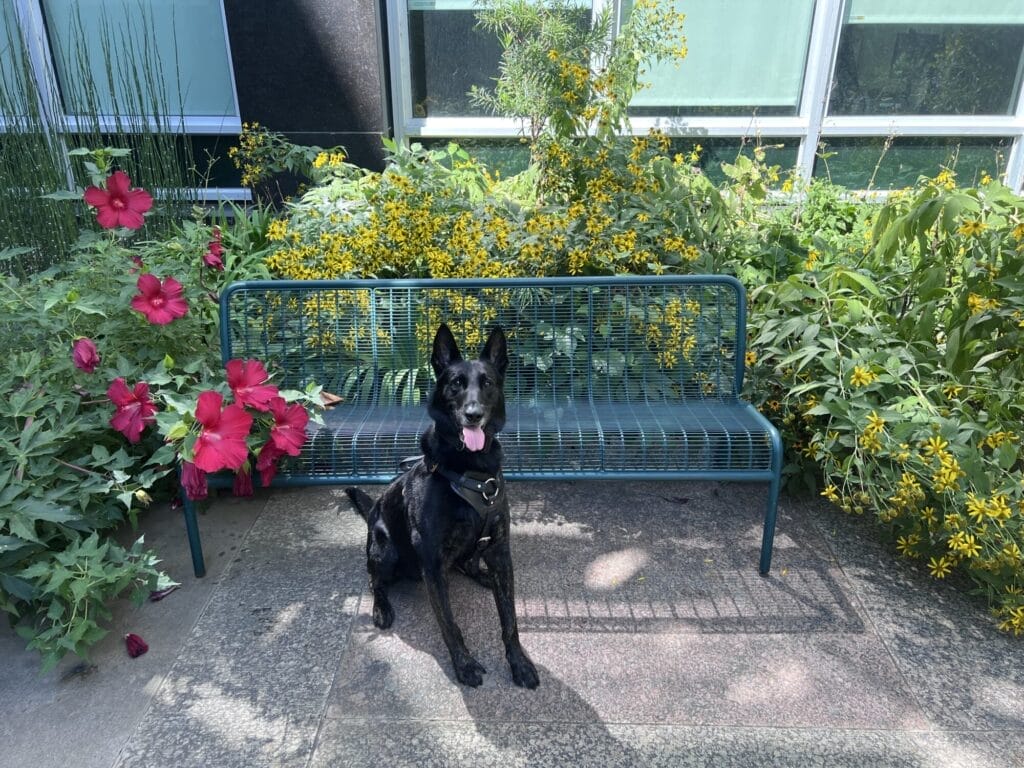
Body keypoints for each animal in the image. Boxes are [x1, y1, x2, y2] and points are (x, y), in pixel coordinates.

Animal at [345, 324, 539, 689]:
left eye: (487, 383)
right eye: (456, 384)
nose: (473, 415)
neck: (471, 470)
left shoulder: (500, 551)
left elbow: (510, 620)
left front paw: (519, 662)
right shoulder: (433, 563)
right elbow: (450, 624)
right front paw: (464, 665)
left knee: (468, 563)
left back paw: (481, 575)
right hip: (384, 550)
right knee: (374, 579)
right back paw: (380, 607)